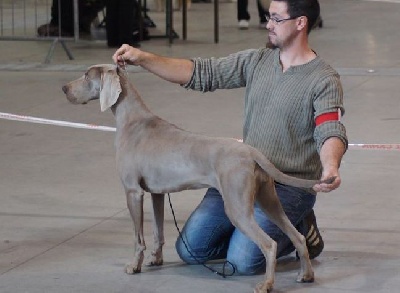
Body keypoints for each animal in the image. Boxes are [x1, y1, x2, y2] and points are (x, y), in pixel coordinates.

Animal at [62, 64, 332, 292]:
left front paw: (134, 266)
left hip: (237, 206)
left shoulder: (132, 191)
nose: (64, 88)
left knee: (269, 244)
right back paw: (306, 274)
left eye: (86, 76)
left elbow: (138, 237)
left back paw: (266, 284)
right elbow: (158, 232)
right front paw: (155, 260)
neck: (132, 121)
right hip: (268, 198)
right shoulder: (157, 193)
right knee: (296, 235)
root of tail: (251, 151)